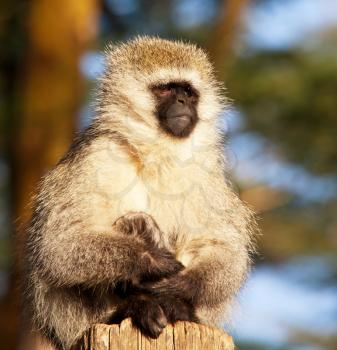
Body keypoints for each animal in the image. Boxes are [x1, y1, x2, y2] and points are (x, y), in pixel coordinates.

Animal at [24, 36, 255, 350]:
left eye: (188, 92)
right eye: (166, 89)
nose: (182, 102)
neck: (155, 152)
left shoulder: (206, 170)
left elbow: (224, 247)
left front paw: (181, 285)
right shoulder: (98, 154)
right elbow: (60, 244)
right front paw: (153, 261)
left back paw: (174, 307)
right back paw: (135, 304)